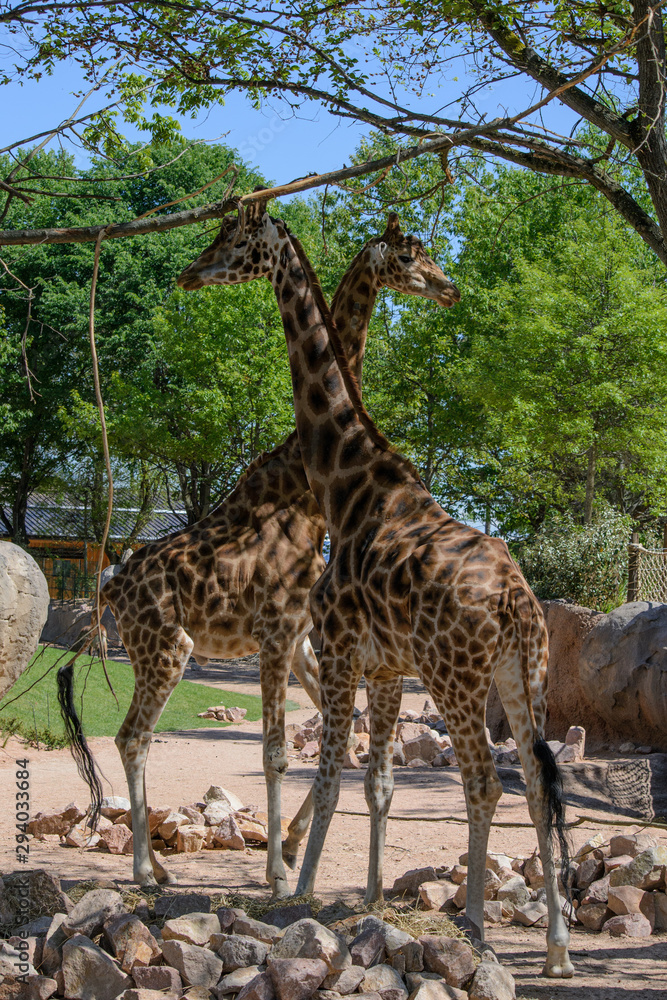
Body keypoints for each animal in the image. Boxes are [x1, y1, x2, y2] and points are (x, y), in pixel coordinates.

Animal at [59, 209, 458, 898]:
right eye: (409, 256)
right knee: (133, 736)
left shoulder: (299, 636)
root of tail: (108, 584)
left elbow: (325, 736)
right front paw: (276, 870)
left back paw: (166, 862)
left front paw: (288, 850)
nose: (448, 288)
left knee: (142, 737)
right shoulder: (279, 631)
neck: (304, 488)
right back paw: (145, 871)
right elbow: (274, 751)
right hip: (169, 647)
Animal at [176, 200, 574, 979]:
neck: (346, 479)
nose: (189, 271)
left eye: (234, 239)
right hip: (524, 678)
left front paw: (297, 893)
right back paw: (556, 952)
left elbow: (332, 773)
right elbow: (376, 782)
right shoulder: (385, 667)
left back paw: (475, 925)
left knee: (484, 784)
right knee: (539, 788)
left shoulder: (339, 649)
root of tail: (516, 602)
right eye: (413, 255)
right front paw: (364, 899)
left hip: (455, 678)